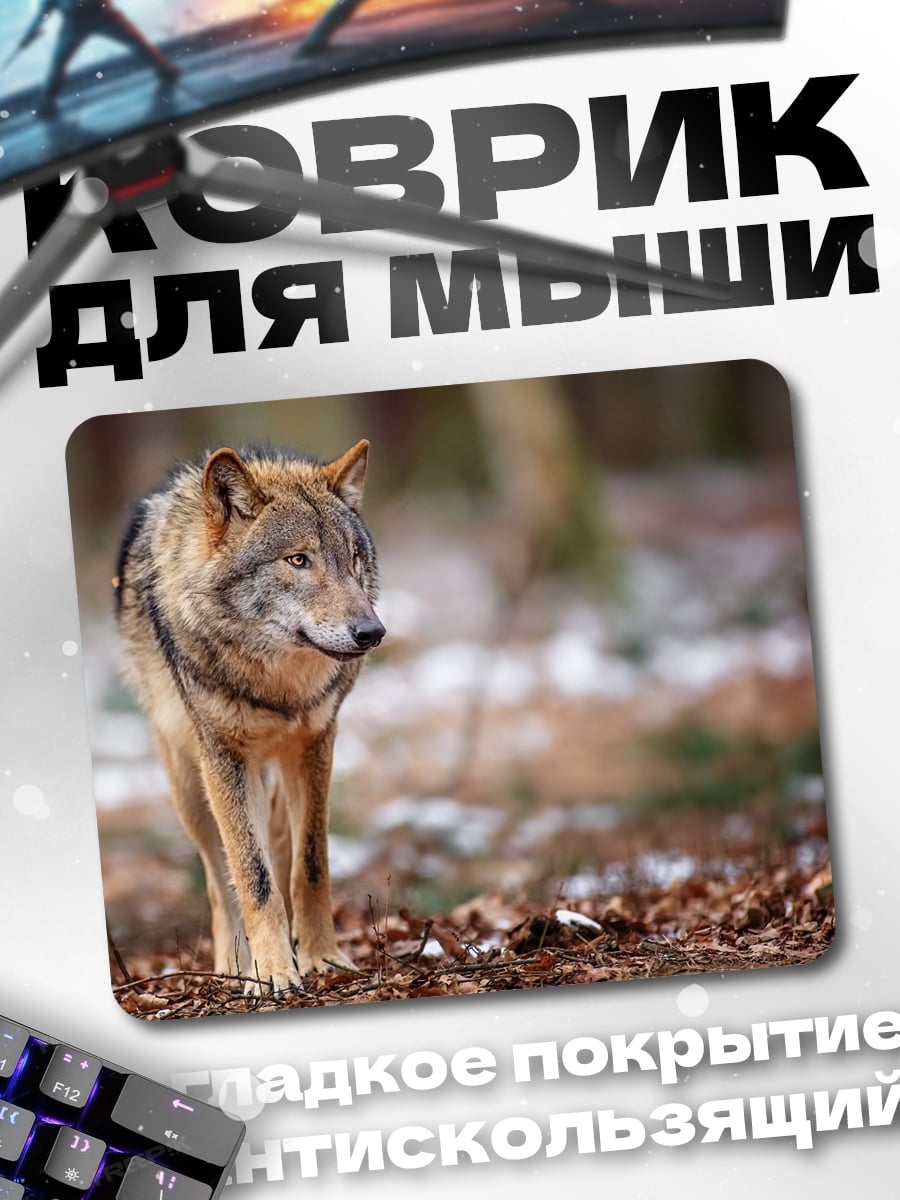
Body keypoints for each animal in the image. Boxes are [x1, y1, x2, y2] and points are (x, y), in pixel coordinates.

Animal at [115, 440, 385, 994]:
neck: (277, 685)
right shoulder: (224, 756)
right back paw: (234, 964)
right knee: (220, 879)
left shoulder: (317, 741)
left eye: (353, 559)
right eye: (298, 560)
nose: (372, 632)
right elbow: (252, 877)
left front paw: (322, 958)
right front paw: (274, 971)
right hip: (191, 787)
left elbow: (311, 864)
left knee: (281, 841)